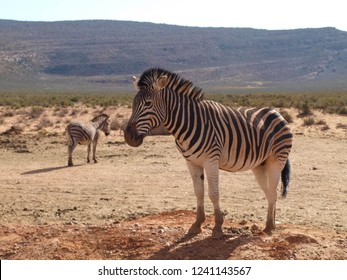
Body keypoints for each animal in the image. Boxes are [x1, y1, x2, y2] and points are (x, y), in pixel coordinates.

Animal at [125, 68, 294, 238]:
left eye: (148, 103)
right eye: (133, 104)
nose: (128, 137)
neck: (189, 122)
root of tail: (276, 112)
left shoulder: (211, 160)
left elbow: (213, 193)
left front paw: (218, 227)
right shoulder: (191, 162)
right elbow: (198, 192)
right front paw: (197, 224)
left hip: (276, 160)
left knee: (272, 191)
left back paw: (269, 227)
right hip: (259, 165)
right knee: (269, 192)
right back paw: (271, 224)